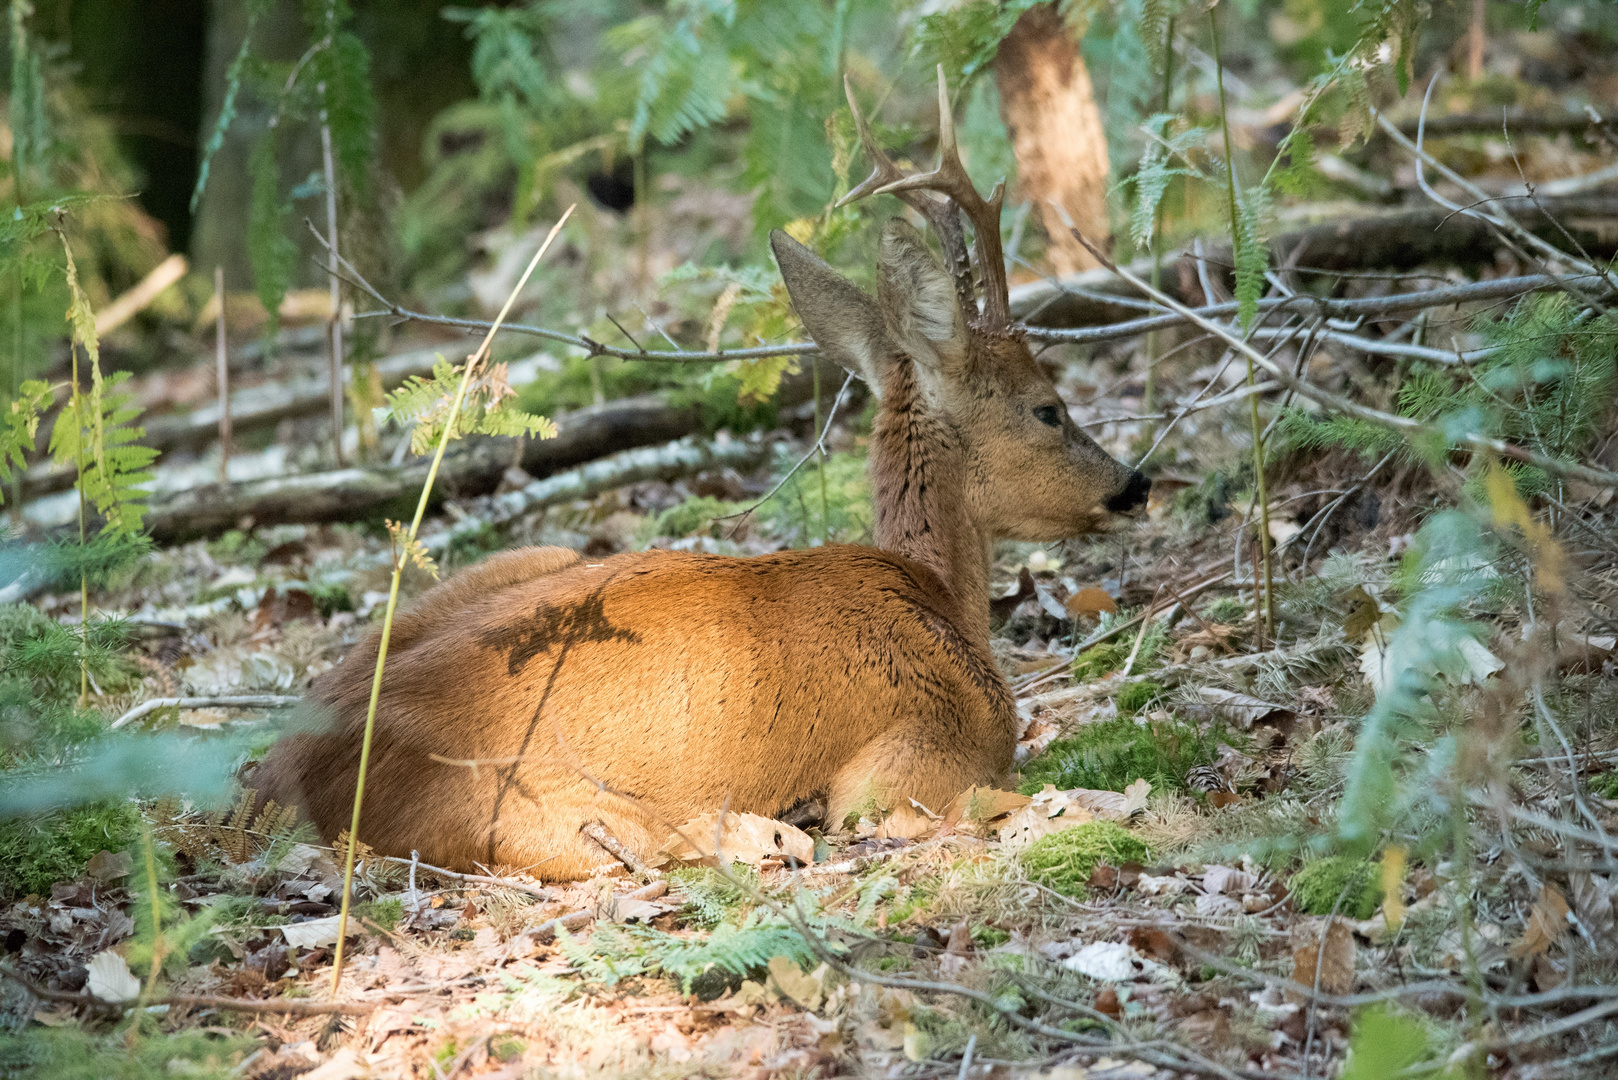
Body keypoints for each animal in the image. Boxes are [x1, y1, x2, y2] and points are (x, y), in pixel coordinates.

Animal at [252, 69, 1145, 880]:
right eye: (1049, 409)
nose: (1135, 484)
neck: (936, 595)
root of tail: (276, 779)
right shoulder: (914, 756)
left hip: (515, 565)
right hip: (541, 814)